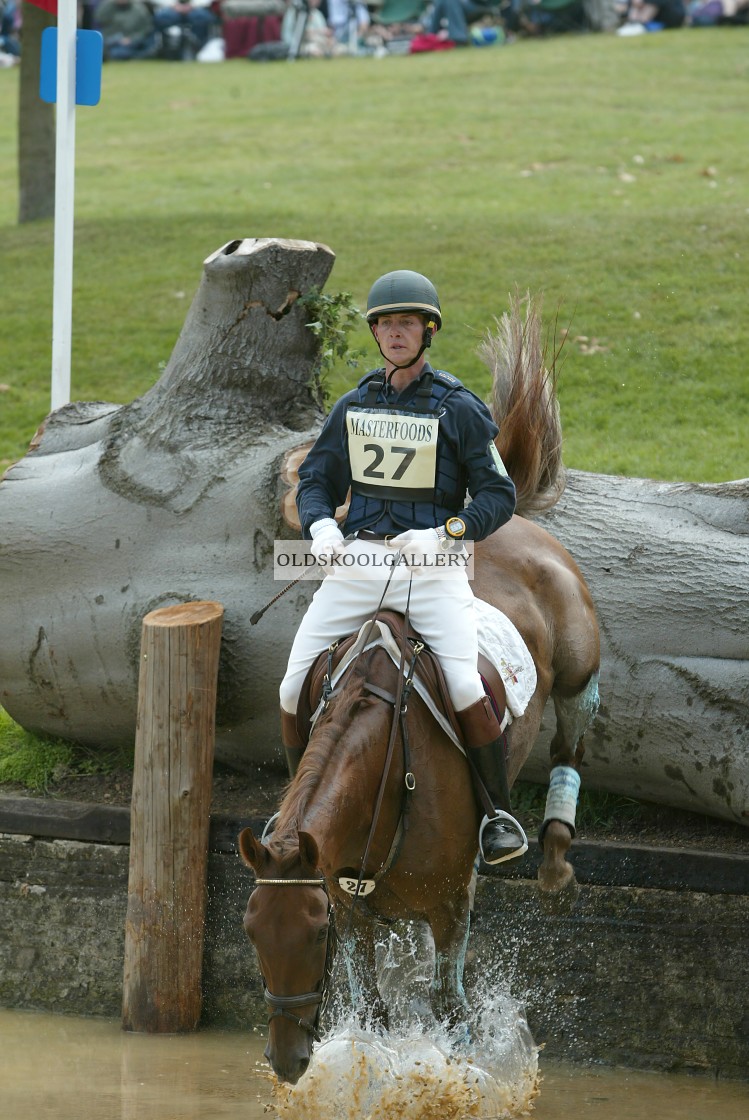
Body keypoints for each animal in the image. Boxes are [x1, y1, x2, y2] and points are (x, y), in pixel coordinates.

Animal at [239, 295, 600, 1084]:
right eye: (251, 931)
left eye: (311, 934)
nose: (285, 1060)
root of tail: (518, 526)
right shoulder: (352, 908)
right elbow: (373, 1017)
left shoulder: (449, 908)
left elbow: (450, 1014)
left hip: (576, 659)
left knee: (572, 728)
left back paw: (555, 853)